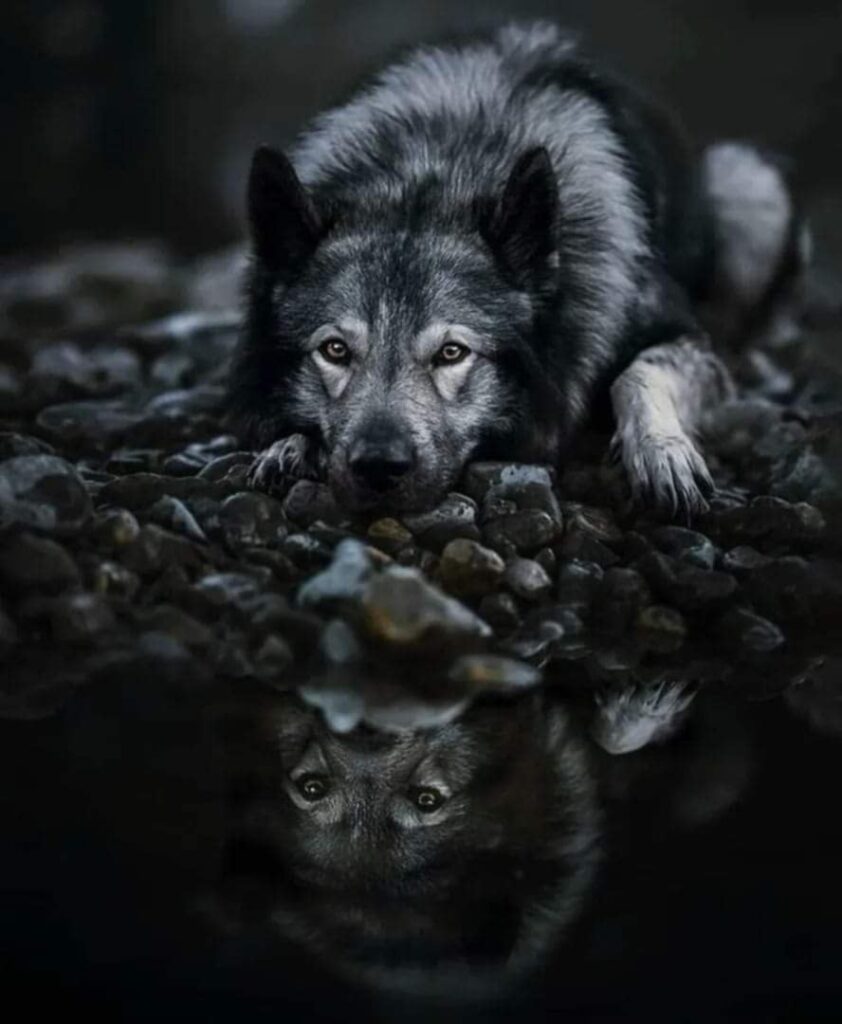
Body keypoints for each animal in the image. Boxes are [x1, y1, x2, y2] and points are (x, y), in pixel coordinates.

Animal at [229, 22, 806, 516]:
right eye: (335, 351)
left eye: (452, 353)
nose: (378, 467)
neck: (438, 171)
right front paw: (290, 445)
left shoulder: (682, 336)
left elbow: (637, 374)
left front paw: (662, 452)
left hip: (752, 189)